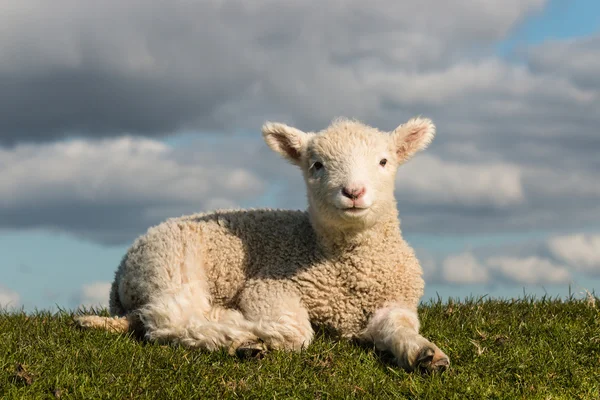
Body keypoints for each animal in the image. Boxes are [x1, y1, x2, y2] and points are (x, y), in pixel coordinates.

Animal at [75, 115, 450, 372]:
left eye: (384, 162)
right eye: (317, 165)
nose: (354, 192)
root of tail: (121, 271)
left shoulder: (395, 301)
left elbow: (400, 327)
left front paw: (426, 354)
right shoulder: (268, 287)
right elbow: (296, 330)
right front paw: (245, 326)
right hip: (170, 265)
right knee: (171, 319)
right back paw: (239, 339)